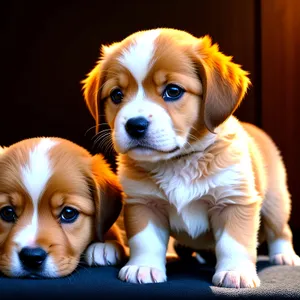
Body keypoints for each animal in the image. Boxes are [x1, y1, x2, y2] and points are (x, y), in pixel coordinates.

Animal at [82, 28, 300, 288]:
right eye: (116, 95)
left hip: (276, 203)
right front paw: (143, 267)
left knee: (281, 231)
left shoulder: (235, 201)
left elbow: (234, 242)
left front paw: (235, 272)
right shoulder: (143, 203)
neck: (179, 162)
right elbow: (145, 241)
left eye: (173, 91)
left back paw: (284, 255)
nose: (135, 125)